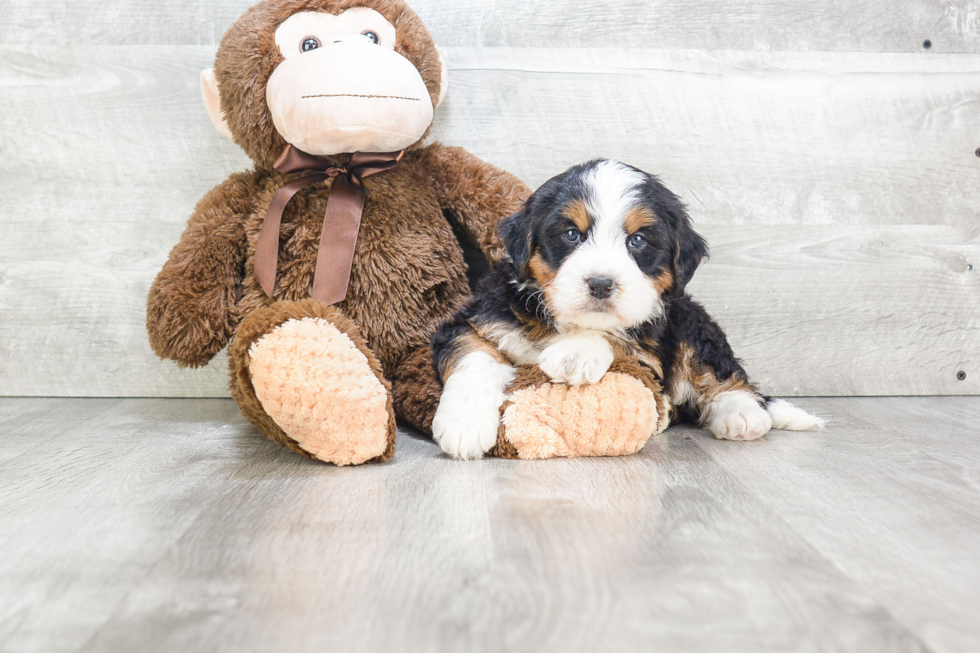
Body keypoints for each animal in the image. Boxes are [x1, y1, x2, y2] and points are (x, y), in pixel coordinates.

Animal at [432, 159, 824, 458]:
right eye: (571, 234)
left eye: (637, 241)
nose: (601, 284)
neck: (564, 321)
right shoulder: (474, 318)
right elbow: (474, 355)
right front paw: (464, 423)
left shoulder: (651, 340)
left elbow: (619, 336)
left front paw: (576, 352)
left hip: (691, 321)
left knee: (722, 373)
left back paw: (742, 414)